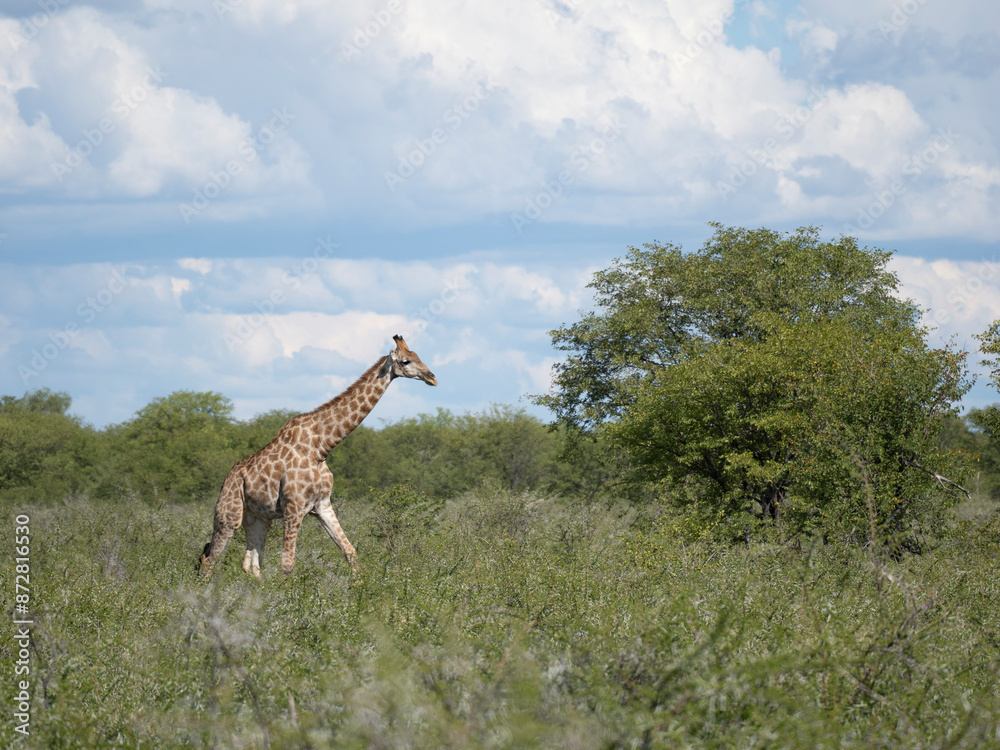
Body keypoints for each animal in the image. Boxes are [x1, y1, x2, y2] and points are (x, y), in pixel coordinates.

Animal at [198, 334, 436, 579]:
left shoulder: (322, 505)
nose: (432, 378)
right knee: (208, 559)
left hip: (258, 518)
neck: (321, 447)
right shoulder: (294, 508)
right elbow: (287, 564)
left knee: (251, 565)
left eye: (418, 356)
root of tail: (226, 480)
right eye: (406, 361)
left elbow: (350, 552)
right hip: (229, 515)